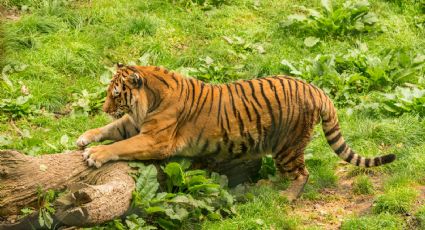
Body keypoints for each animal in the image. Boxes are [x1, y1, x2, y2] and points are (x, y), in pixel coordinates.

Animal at [75, 64, 394, 199]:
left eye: (116, 94)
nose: (105, 106)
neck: (150, 100)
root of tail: (317, 90)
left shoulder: (156, 139)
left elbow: (120, 146)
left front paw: (95, 154)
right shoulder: (136, 124)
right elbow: (110, 128)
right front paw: (85, 137)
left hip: (288, 146)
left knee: (302, 174)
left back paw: (287, 197)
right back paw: (265, 186)